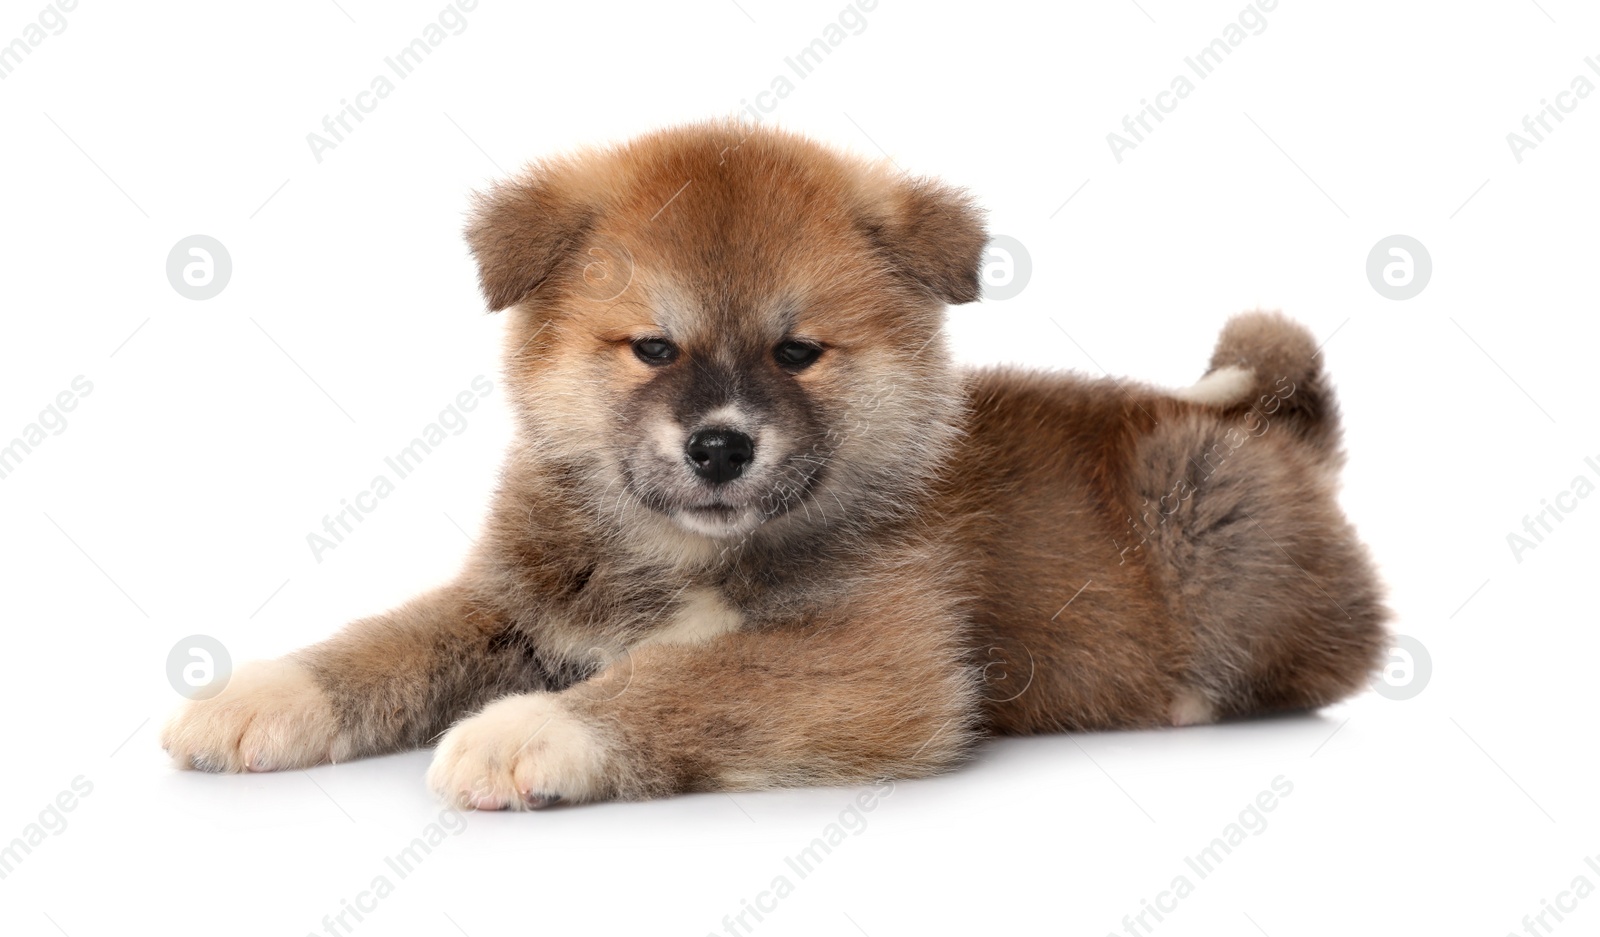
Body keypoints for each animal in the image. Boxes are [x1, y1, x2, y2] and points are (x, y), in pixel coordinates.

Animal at [162, 120, 1388, 805]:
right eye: (652, 346)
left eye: (797, 351)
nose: (718, 444)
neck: (677, 558)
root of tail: (1283, 434)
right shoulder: (515, 601)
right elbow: (383, 642)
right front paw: (259, 694)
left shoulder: (876, 656)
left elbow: (691, 679)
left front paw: (531, 727)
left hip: (1206, 513)